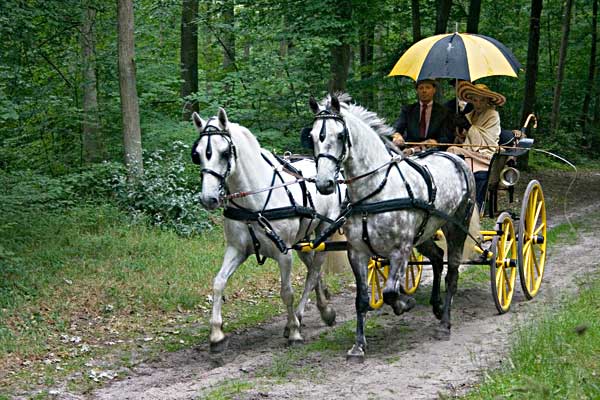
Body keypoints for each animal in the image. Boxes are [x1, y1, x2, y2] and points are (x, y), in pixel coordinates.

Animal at [190, 108, 344, 352]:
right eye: (197, 154)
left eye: (224, 152)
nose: (208, 198)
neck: (254, 203)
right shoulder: (236, 249)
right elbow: (218, 283)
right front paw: (216, 334)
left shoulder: (283, 253)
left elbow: (286, 292)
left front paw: (294, 331)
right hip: (302, 239)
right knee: (312, 267)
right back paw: (323, 307)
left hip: (324, 231)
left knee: (313, 272)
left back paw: (307, 315)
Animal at [308, 94, 480, 362]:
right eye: (313, 136)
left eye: (340, 135)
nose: (324, 184)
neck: (375, 191)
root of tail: (455, 158)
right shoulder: (357, 252)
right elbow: (362, 299)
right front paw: (358, 346)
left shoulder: (401, 250)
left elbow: (389, 291)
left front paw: (404, 304)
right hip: (425, 233)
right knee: (437, 258)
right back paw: (438, 306)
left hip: (457, 227)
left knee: (451, 272)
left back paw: (445, 324)